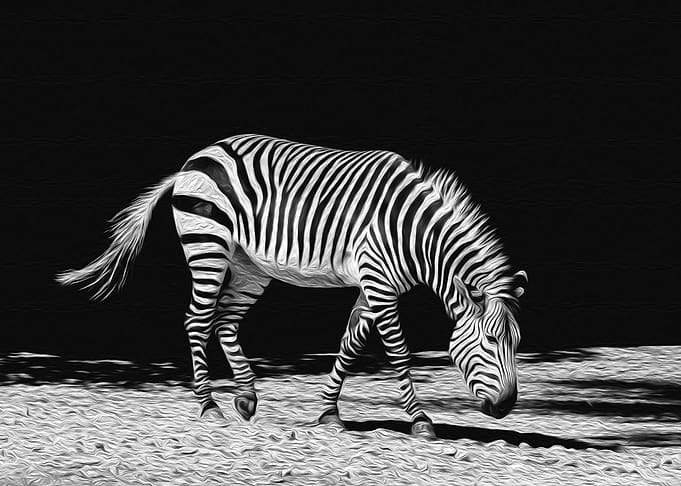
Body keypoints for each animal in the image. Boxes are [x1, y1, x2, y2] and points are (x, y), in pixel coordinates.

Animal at [56, 134, 527, 439]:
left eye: (516, 344)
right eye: (488, 342)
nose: (507, 407)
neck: (413, 233)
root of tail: (198, 155)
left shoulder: (373, 284)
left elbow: (351, 343)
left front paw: (329, 412)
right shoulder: (378, 281)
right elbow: (397, 350)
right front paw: (419, 419)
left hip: (250, 265)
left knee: (225, 323)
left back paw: (246, 397)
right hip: (207, 245)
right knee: (197, 320)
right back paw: (209, 406)